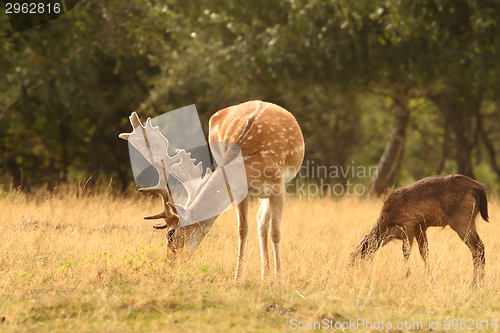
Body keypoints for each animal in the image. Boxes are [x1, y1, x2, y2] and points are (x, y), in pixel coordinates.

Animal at [120, 100, 304, 278]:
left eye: (171, 233)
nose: (169, 263)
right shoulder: (241, 191)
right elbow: (242, 229)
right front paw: (238, 278)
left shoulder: (278, 185)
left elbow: (276, 232)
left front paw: (280, 280)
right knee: (260, 220)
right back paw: (265, 274)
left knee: (264, 222)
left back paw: (269, 275)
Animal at [352, 172, 488, 284]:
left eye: (356, 258)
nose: (353, 275)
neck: (388, 226)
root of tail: (479, 187)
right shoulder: (421, 227)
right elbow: (424, 252)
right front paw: (430, 276)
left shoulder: (408, 223)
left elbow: (406, 252)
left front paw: (407, 275)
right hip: (471, 219)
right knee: (480, 246)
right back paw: (479, 281)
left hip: (460, 218)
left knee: (477, 247)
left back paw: (475, 283)